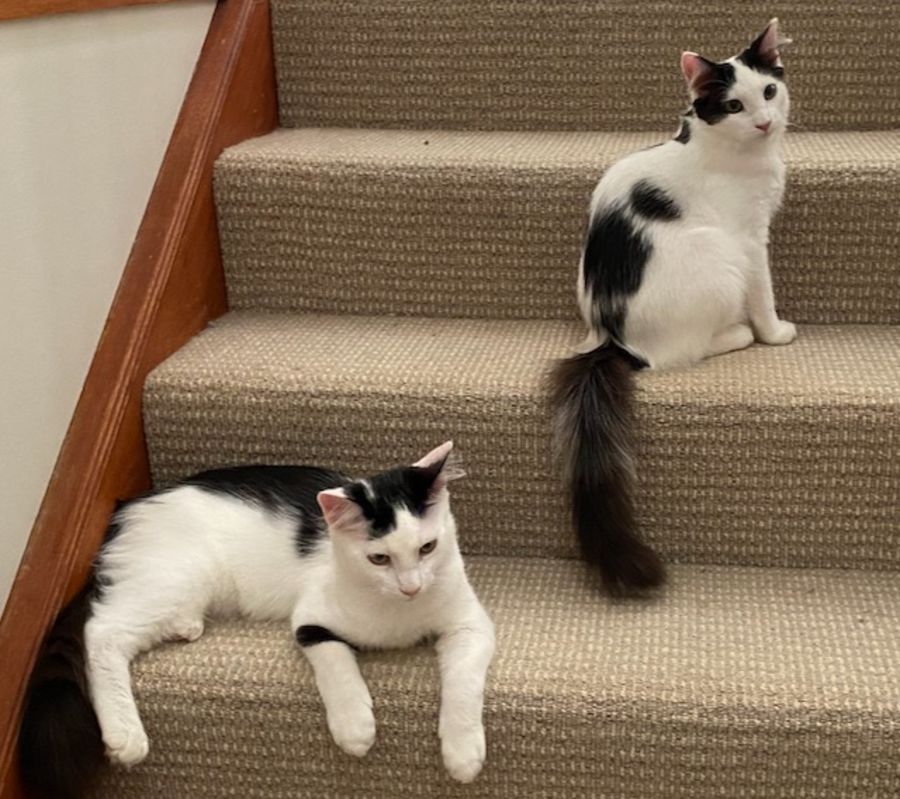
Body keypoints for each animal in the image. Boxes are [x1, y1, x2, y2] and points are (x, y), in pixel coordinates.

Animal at [19, 441, 495, 798]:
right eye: (379, 559)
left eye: (427, 548)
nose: (412, 587)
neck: (399, 613)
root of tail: (132, 507)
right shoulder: (310, 620)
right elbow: (337, 664)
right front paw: (355, 726)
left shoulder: (471, 625)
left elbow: (463, 682)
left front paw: (462, 751)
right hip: (176, 578)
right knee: (102, 630)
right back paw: (126, 734)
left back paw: (186, 626)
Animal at [551, 19, 796, 594]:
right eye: (733, 105)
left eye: (768, 91)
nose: (763, 122)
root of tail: (610, 339)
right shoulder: (750, 239)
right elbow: (765, 293)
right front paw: (774, 332)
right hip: (719, 254)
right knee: (682, 353)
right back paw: (737, 333)